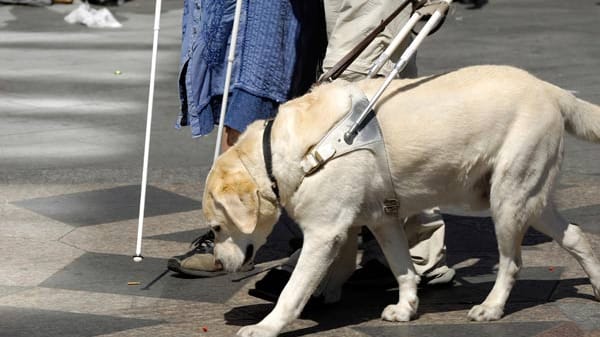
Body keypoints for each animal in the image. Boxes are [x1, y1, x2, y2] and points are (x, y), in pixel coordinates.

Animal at [203, 64, 600, 334]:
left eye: (217, 227)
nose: (219, 264)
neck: (300, 151)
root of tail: (550, 89)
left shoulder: (323, 233)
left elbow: (293, 291)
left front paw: (266, 327)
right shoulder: (383, 219)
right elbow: (402, 267)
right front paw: (406, 307)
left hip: (508, 198)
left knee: (512, 262)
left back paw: (491, 307)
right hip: (531, 199)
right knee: (577, 235)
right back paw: (597, 285)